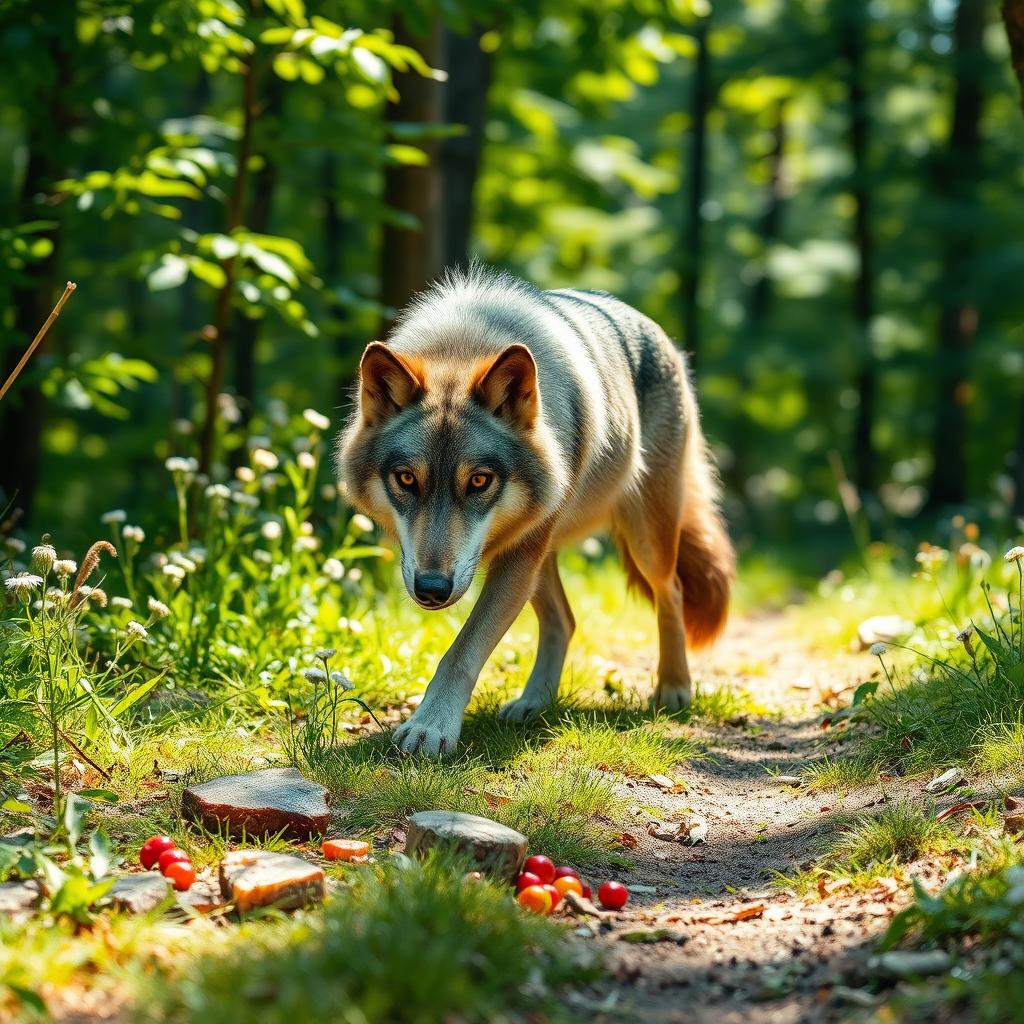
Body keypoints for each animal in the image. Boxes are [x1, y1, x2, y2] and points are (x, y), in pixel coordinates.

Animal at [337, 266, 734, 756]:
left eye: (479, 481)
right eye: (407, 479)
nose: (432, 588)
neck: (465, 345)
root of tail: (662, 335)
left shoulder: (516, 559)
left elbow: (461, 652)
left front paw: (430, 726)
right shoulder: (519, 555)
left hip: (641, 541)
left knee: (671, 590)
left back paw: (674, 689)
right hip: (539, 555)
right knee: (565, 619)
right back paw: (534, 702)